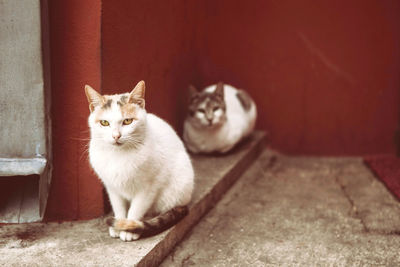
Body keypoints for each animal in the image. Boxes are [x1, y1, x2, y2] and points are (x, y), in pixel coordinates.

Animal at [85, 80, 195, 242]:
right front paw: (119, 223)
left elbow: (136, 208)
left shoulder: (149, 187)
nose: (116, 136)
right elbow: (118, 206)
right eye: (104, 123)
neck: (119, 155)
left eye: (128, 121)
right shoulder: (112, 186)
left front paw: (129, 228)